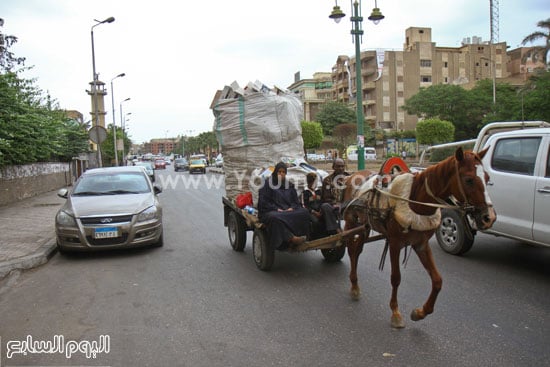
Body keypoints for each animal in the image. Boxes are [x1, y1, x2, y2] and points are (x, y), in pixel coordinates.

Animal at [342, 148, 498, 330]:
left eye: (487, 178)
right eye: (469, 180)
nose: (489, 217)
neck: (415, 201)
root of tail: (353, 175)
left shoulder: (421, 244)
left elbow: (437, 280)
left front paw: (420, 312)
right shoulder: (395, 243)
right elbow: (396, 278)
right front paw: (395, 313)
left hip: (365, 226)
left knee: (357, 250)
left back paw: (355, 285)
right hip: (351, 222)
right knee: (351, 249)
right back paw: (354, 285)